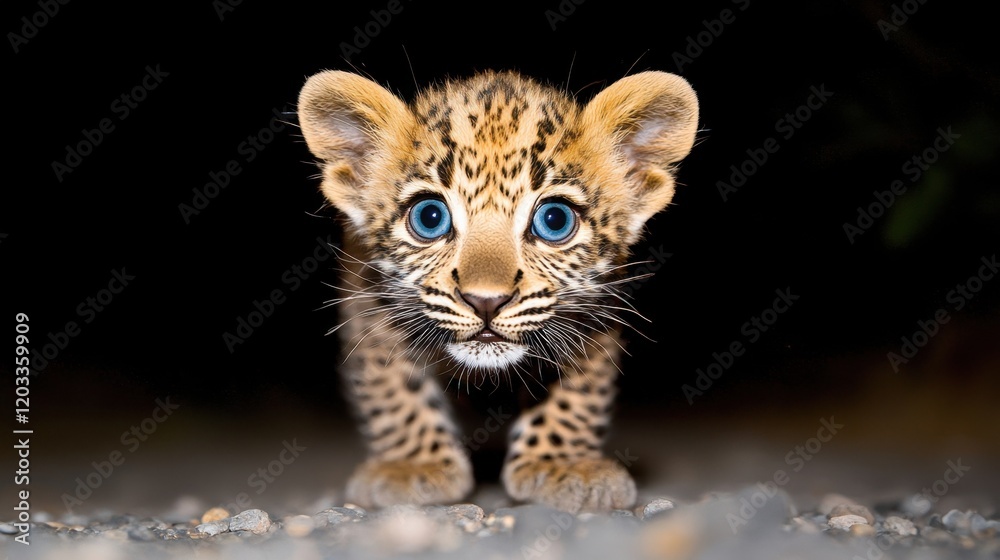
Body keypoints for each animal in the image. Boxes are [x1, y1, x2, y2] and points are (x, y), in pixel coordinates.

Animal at [297, 68, 698, 513]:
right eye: (429, 217)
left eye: (554, 220)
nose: (486, 300)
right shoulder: (369, 306)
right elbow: (394, 388)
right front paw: (414, 466)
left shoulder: (594, 311)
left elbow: (576, 395)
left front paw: (562, 464)